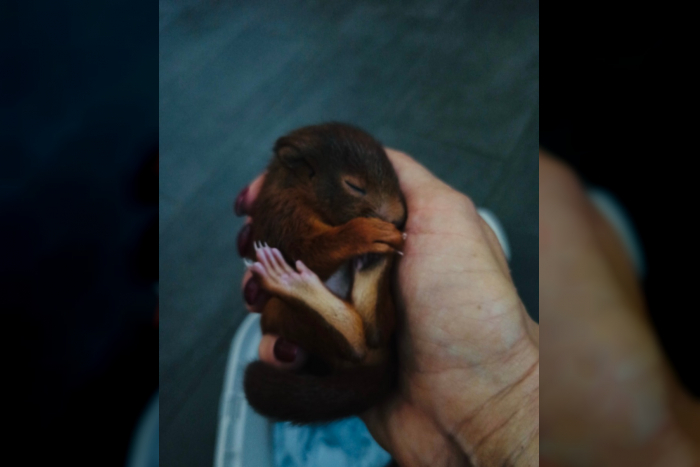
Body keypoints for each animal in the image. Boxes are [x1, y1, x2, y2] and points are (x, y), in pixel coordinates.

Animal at [240, 123, 407, 424]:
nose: (399, 219)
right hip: (282, 317)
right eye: (354, 186)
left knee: (375, 331)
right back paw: (287, 279)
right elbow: (308, 252)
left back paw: (375, 262)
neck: (296, 186)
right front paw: (364, 233)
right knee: (354, 343)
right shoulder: (282, 216)